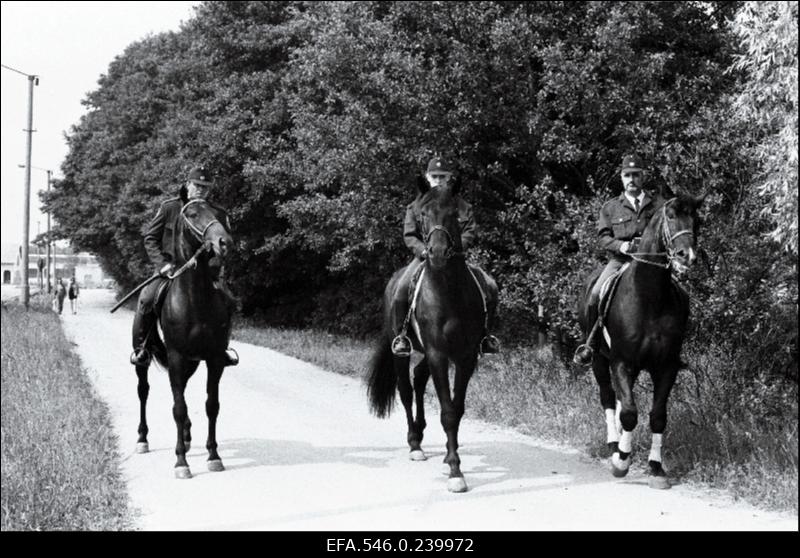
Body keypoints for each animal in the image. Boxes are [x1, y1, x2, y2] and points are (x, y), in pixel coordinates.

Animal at [131, 195, 236, 480]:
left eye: (219, 214)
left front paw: (214, 456)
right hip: (145, 360)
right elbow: (178, 408)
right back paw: (142, 439)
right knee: (143, 391)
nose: (224, 242)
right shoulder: (177, 357)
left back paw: (188, 436)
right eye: (192, 214)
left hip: (191, 362)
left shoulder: (214, 359)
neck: (196, 298)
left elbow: (212, 405)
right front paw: (181, 462)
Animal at [366, 176, 490, 494]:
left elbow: (456, 409)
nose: (436, 253)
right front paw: (456, 471)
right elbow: (447, 411)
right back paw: (414, 443)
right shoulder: (438, 353)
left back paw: (421, 434)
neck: (449, 291)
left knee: (419, 379)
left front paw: (450, 459)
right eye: (421, 215)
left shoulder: (465, 357)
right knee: (407, 390)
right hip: (405, 350)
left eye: (456, 214)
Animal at [580, 194, 704, 490]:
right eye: (670, 216)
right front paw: (621, 462)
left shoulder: (666, 367)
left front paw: (656, 468)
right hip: (599, 361)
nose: (687, 256)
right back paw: (614, 445)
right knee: (608, 398)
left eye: (697, 219)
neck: (650, 298)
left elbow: (657, 417)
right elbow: (629, 413)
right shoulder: (621, 363)